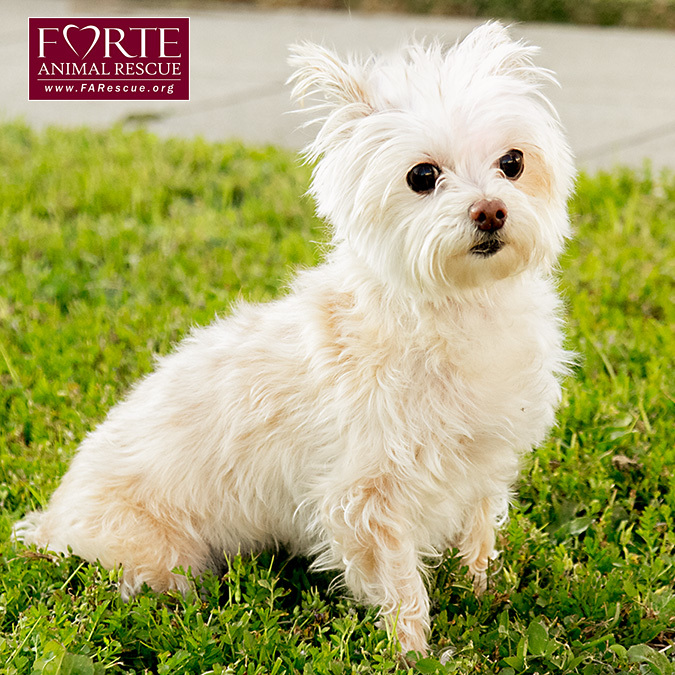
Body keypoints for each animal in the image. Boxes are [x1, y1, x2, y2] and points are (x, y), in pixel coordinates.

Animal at [14, 23, 576, 656]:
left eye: (513, 162)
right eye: (422, 176)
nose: (491, 212)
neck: (458, 306)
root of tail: (49, 523)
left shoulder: (484, 463)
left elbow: (478, 534)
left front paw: (481, 593)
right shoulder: (363, 501)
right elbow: (402, 584)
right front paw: (414, 652)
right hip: (161, 559)